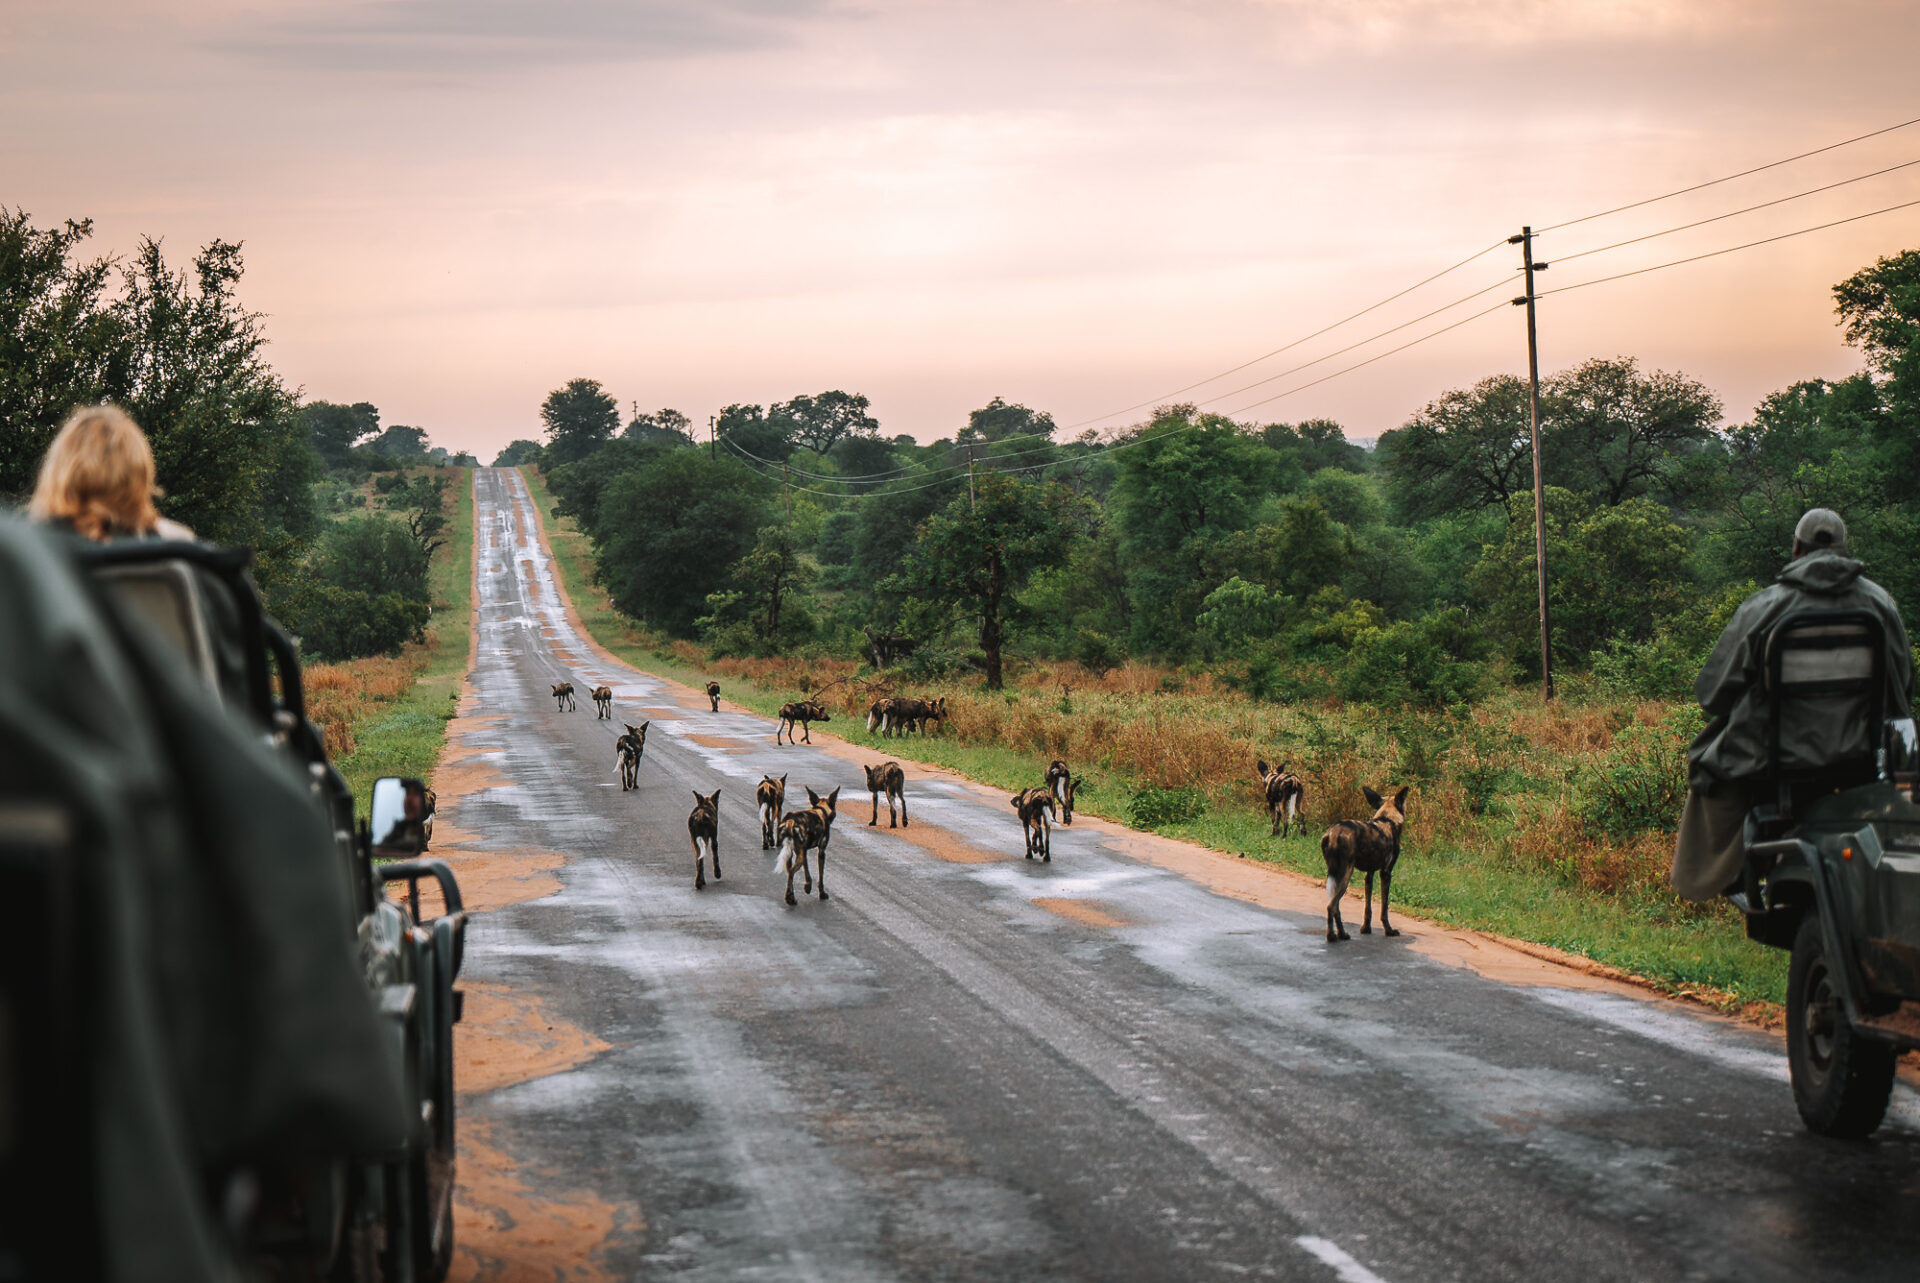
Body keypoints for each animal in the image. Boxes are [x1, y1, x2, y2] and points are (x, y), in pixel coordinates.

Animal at [1320, 783, 1413, 941]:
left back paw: (1341, 934)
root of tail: (1332, 833)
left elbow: (1368, 908)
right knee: (1331, 906)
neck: (1387, 819)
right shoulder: (1386, 873)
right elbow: (1384, 908)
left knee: (1335, 907)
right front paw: (1389, 930)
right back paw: (1332, 936)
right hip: (1345, 875)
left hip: (1335, 875)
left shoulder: (1369, 874)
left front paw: (1366, 928)